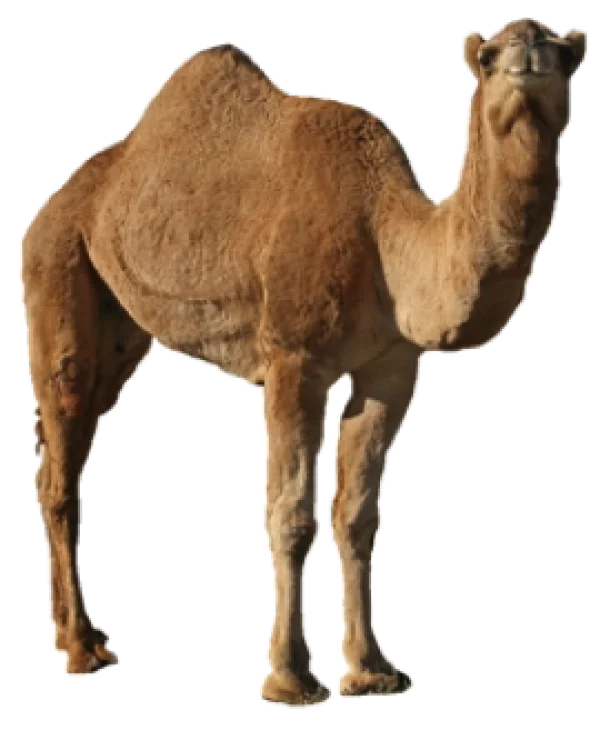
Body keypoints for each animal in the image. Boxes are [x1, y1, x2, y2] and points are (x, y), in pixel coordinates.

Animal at [22, 19, 585, 703]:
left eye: (565, 56)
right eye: (489, 56)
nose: (527, 57)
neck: (384, 234)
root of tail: (55, 205)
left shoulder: (391, 367)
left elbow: (357, 514)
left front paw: (371, 669)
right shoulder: (294, 358)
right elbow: (290, 513)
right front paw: (289, 678)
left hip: (120, 323)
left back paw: (75, 636)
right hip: (58, 263)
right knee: (61, 452)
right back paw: (81, 649)